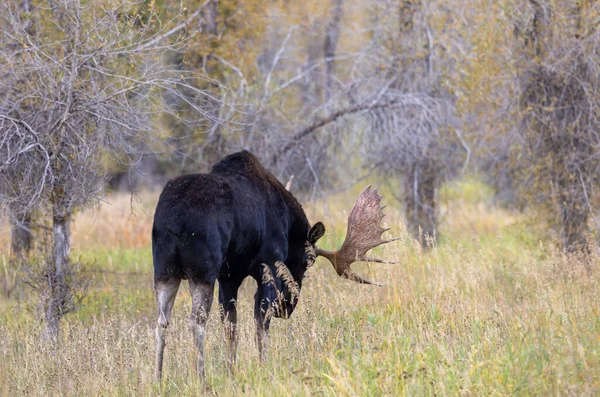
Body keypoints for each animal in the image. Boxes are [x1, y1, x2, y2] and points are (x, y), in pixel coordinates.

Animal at [152, 150, 398, 378]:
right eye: (309, 260)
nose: (286, 307)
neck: (288, 222)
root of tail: (176, 220)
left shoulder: (229, 276)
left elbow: (231, 326)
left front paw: (232, 372)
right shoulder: (268, 265)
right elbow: (261, 323)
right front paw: (264, 367)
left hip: (165, 270)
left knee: (162, 321)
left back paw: (159, 378)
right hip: (203, 270)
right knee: (196, 320)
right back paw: (201, 378)